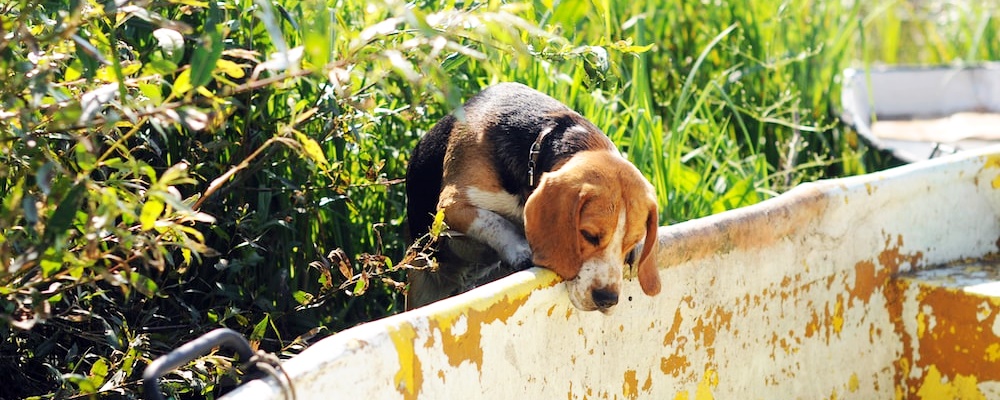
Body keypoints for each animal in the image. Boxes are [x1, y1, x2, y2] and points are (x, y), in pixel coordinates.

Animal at [402, 82, 660, 312]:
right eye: (588, 235)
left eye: (631, 242)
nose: (607, 299)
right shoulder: (451, 205)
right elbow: (494, 221)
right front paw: (520, 248)